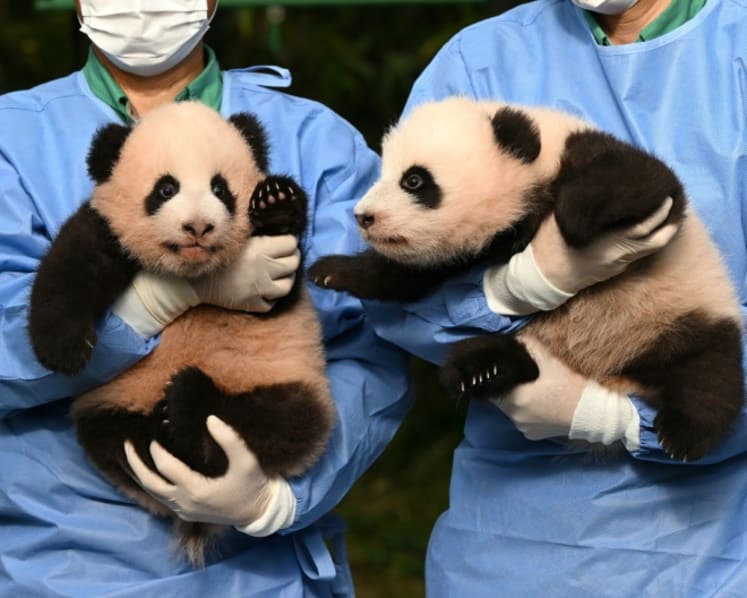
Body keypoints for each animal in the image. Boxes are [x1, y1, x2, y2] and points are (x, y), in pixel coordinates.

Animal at [28, 101, 334, 566]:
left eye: (220, 189)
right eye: (166, 189)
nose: (198, 227)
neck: (191, 273)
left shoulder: (280, 275)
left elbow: (281, 289)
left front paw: (277, 202)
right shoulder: (107, 228)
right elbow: (72, 265)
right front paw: (62, 349)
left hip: (285, 381)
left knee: (285, 421)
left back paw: (190, 409)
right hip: (112, 407)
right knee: (118, 438)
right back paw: (165, 432)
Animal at [309, 96, 744, 463]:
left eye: (413, 180)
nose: (363, 217)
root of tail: (616, 381)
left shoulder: (585, 153)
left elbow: (645, 183)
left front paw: (572, 223)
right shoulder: (471, 251)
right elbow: (408, 274)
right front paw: (332, 270)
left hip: (678, 316)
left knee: (707, 372)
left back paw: (683, 434)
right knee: (509, 361)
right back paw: (481, 369)